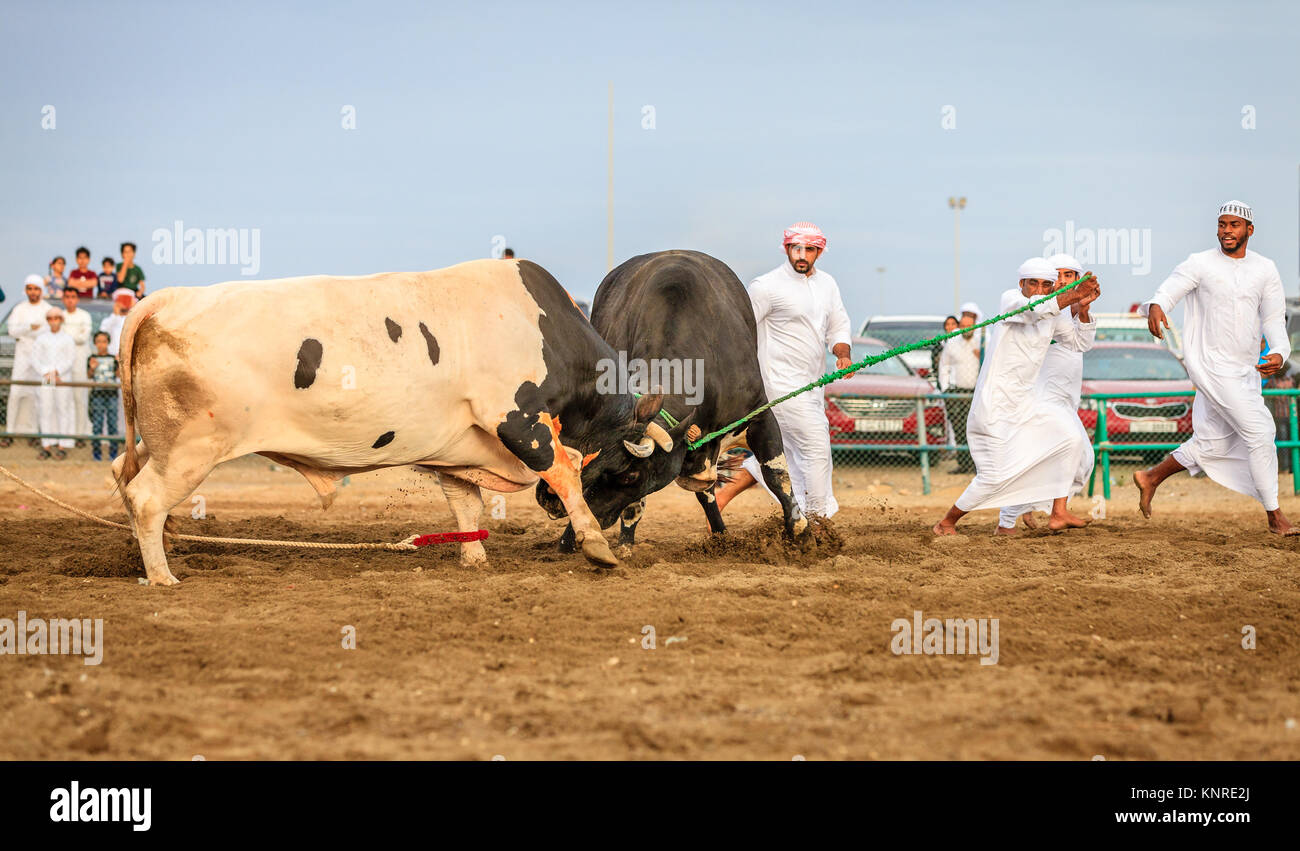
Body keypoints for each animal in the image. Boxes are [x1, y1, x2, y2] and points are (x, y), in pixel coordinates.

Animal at [111, 258, 676, 587]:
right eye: (629, 472)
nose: (548, 511)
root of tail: (167, 298)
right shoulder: (517, 420)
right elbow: (565, 470)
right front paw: (597, 547)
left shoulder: (459, 448)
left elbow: (465, 502)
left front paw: (474, 559)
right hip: (191, 448)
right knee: (145, 498)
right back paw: (162, 577)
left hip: (162, 443)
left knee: (123, 473)